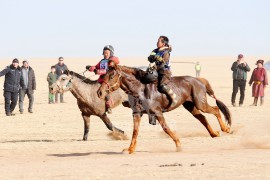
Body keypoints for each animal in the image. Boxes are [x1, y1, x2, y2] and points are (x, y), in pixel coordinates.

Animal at [97, 61, 232, 153]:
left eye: (111, 76)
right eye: (104, 76)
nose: (99, 92)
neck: (140, 89)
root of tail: (198, 79)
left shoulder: (157, 112)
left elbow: (166, 128)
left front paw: (178, 145)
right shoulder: (137, 114)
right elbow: (135, 131)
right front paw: (130, 149)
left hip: (200, 103)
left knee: (215, 110)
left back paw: (226, 129)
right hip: (190, 106)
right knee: (202, 118)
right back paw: (215, 133)